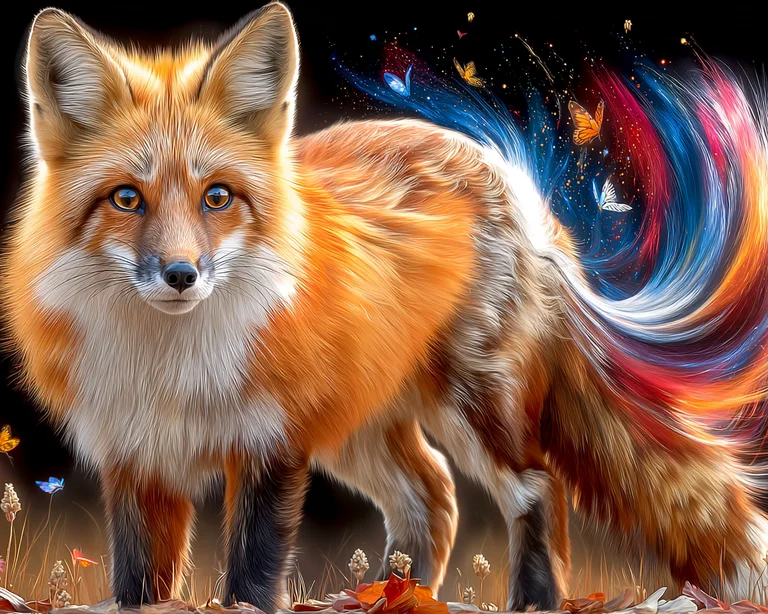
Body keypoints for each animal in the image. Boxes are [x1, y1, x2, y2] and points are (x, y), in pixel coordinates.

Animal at [5, 2, 768, 611]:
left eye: (216, 197)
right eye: (126, 198)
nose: (181, 275)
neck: (171, 367)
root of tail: (501, 169)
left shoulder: (271, 443)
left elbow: (251, 577)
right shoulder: (138, 459)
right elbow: (140, 584)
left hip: (470, 405)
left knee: (535, 489)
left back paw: (526, 601)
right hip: (359, 428)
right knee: (432, 499)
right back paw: (390, 595)